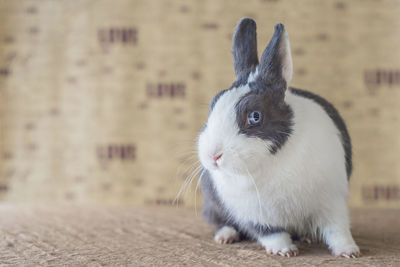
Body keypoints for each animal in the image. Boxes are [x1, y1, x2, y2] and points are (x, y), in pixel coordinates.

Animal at [197, 17, 360, 258]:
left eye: (255, 116)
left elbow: (337, 229)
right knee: (219, 221)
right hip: (212, 203)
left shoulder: (332, 201)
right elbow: (270, 233)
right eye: (212, 105)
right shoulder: (256, 214)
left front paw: (349, 251)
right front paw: (284, 251)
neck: (272, 161)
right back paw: (226, 236)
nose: (213, 156)